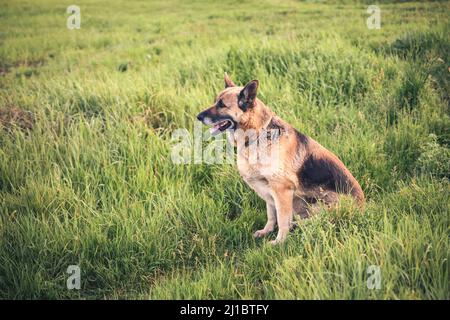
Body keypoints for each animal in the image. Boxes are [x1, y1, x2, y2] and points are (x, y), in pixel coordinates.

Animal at [197, 74, 366, 245]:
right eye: (215, 101)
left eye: (222, 105)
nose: (198, 117)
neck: (258, 134)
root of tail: (363, 207)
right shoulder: (269, 190)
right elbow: (272, 215)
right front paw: (267, 231)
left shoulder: (282, 191)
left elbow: (282, 219)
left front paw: (279, 242)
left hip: (320, 202)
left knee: (319, 220)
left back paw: (298, 226)